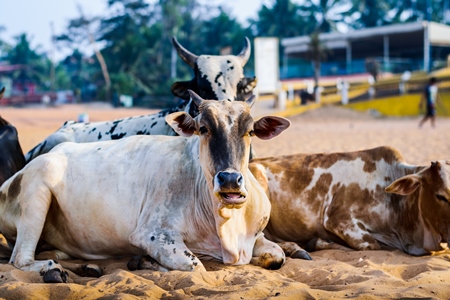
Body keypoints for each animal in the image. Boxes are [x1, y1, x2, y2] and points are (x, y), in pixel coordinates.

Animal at [0, 90, 288, 282]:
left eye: (250, 131)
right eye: (203, 128)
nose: (229, 180)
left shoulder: (257, 238)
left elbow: (278, 255)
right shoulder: (151, 234)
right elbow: (196, 267)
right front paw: (144, 262)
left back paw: (84, 268)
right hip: (37, 192)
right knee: (20, 259)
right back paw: (51, 270)